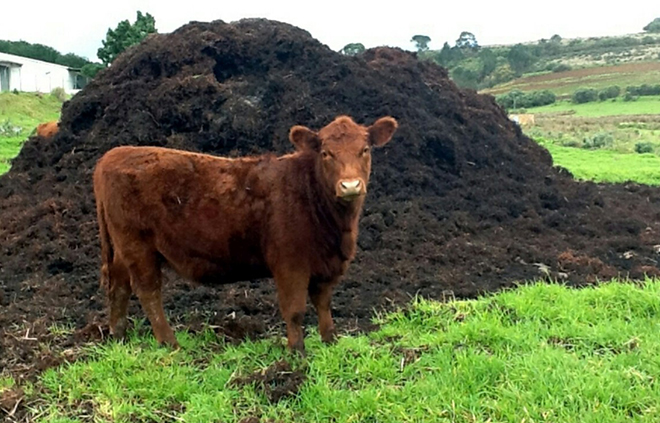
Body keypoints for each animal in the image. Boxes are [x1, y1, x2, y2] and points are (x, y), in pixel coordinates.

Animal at [91, 114, 398, 352]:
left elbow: (323, 304)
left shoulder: (326, 265)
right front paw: (297, 352)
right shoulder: (290, 263)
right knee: (148, 291)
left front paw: (330, 342)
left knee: (120, 286)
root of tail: (113, 154)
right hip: (138, 246)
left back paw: (118, 336)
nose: (350, 185)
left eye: (365, 149)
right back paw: (170, 344)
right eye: (326, 153)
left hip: (123, 248)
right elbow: (295, 310)